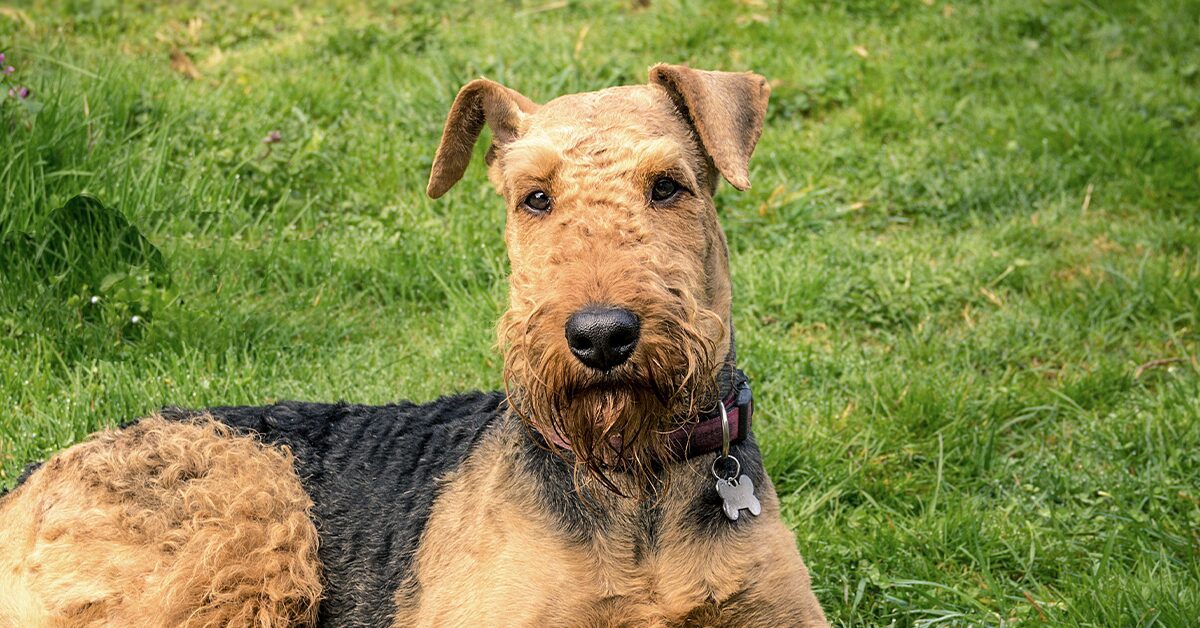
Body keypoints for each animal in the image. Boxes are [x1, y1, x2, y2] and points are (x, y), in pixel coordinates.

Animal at [0, 62, 825, 624]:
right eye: (535, 198)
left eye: (668, 186)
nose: (600, 336)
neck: (636, 487)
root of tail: (26, 484)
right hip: (250, 532)